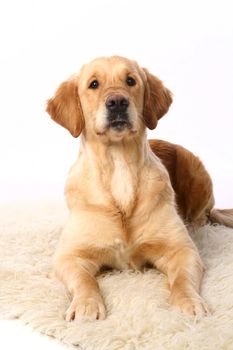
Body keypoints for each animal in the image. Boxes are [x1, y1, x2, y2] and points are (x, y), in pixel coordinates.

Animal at [46, 56, 233, 322]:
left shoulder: (182, 250)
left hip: (196, 171)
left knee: (204, 215)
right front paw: (86, 306)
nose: (117, 102)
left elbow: (182, 279)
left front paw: (189, 302)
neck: (119, 168)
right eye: (94, 84)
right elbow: (84, 280)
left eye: (130, 81)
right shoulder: (69, 256)